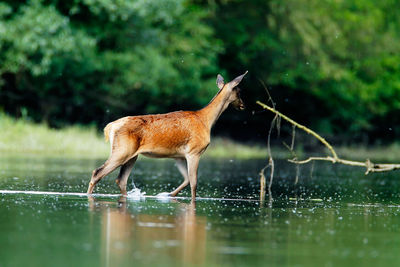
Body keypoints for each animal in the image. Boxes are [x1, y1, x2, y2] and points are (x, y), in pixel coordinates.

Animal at [87, 70, 247, 200]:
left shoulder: (179, 156)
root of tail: (110, 127)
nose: (243, 105)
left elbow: (186, 180)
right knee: (97, 172)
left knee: (121, 180)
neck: (206, 121)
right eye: (239, 91)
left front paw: (168, 195)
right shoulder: (194, 151)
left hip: (132, 155)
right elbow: (194, 182)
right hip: (122, 150)